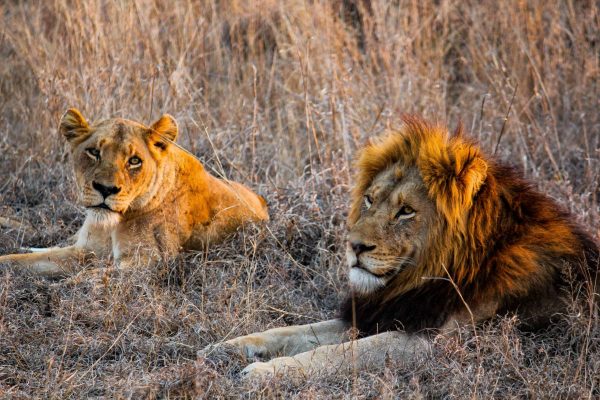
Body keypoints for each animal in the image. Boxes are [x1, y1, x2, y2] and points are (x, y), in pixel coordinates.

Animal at [0, 108, 268, 276]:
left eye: (134, 161)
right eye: (94, 152)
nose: (106, 189)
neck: (112, 224)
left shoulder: (149, 262)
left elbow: (90, 278)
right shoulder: (85, 250)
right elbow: (16, 261)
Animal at [204, 115, 596, 378]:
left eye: (406, 211)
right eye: (369, 199)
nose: (354, 246)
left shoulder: (429, 343)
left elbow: (338, 354)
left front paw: (264, 373)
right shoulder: (379, 313)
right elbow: (289, 332)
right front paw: (224, 348)